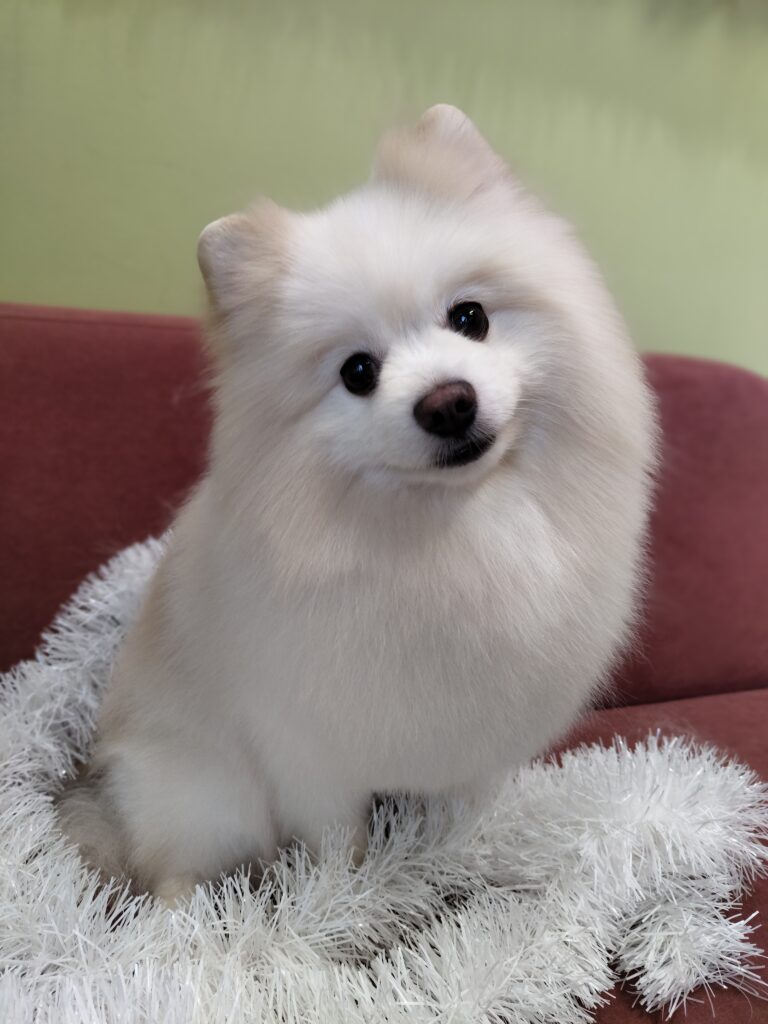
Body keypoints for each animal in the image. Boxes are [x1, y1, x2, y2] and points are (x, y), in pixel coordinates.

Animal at [58, 105, 657, 902]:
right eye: (358, 372)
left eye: (470, 318)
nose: (448, 401)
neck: (452, 534)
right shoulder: (312, 756)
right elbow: (341, 843)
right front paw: (342, 903)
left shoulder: (478, 741)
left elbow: (466, 814)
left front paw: (464, 859)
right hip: (205, 798)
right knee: (170, 869)